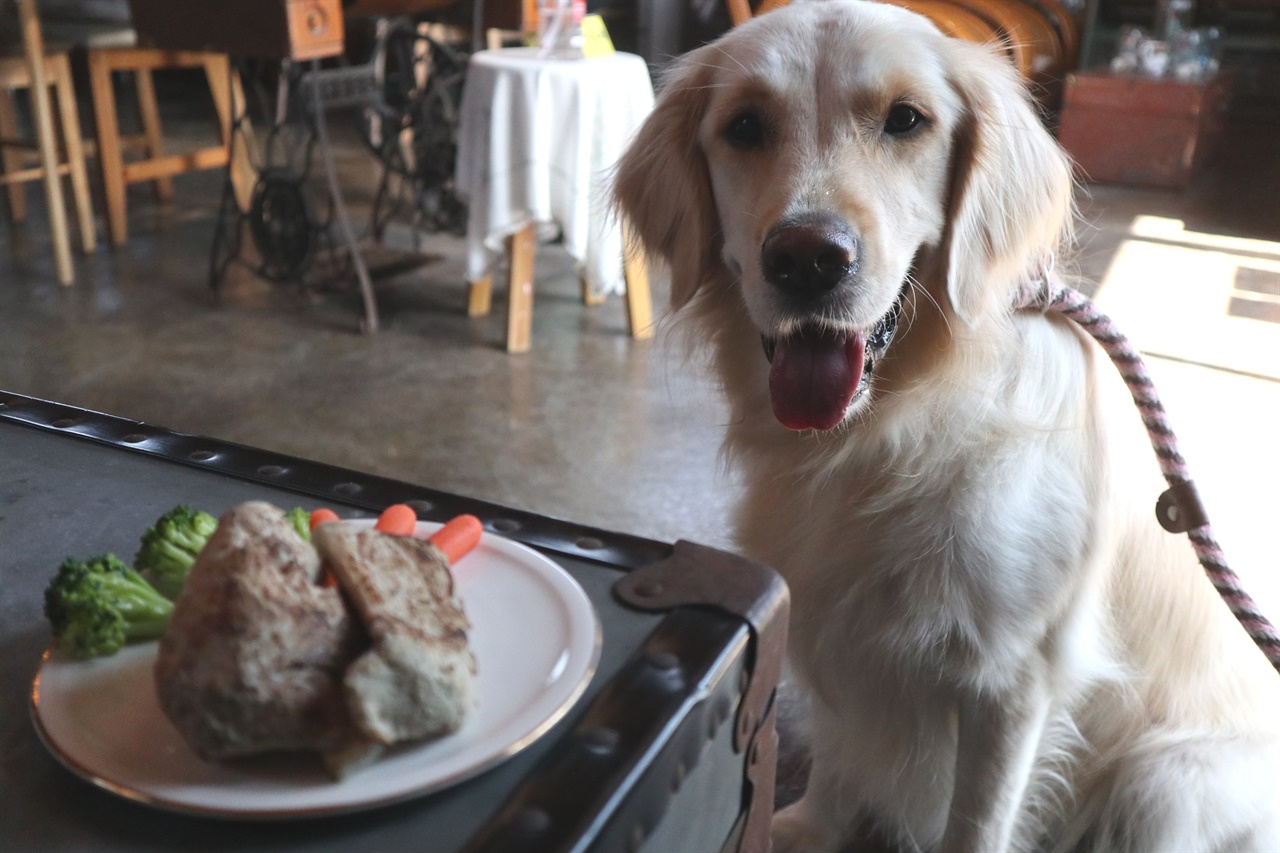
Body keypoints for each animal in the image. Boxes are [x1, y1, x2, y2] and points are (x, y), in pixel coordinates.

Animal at [614, 1, 1280, 850]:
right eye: (745, 125)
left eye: (906, 120)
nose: (807, 259)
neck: (892, 428)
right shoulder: (835, 628)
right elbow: (839, 753)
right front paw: (809, 824)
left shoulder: (1011, 681)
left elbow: (976, 820)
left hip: (1167, 782)